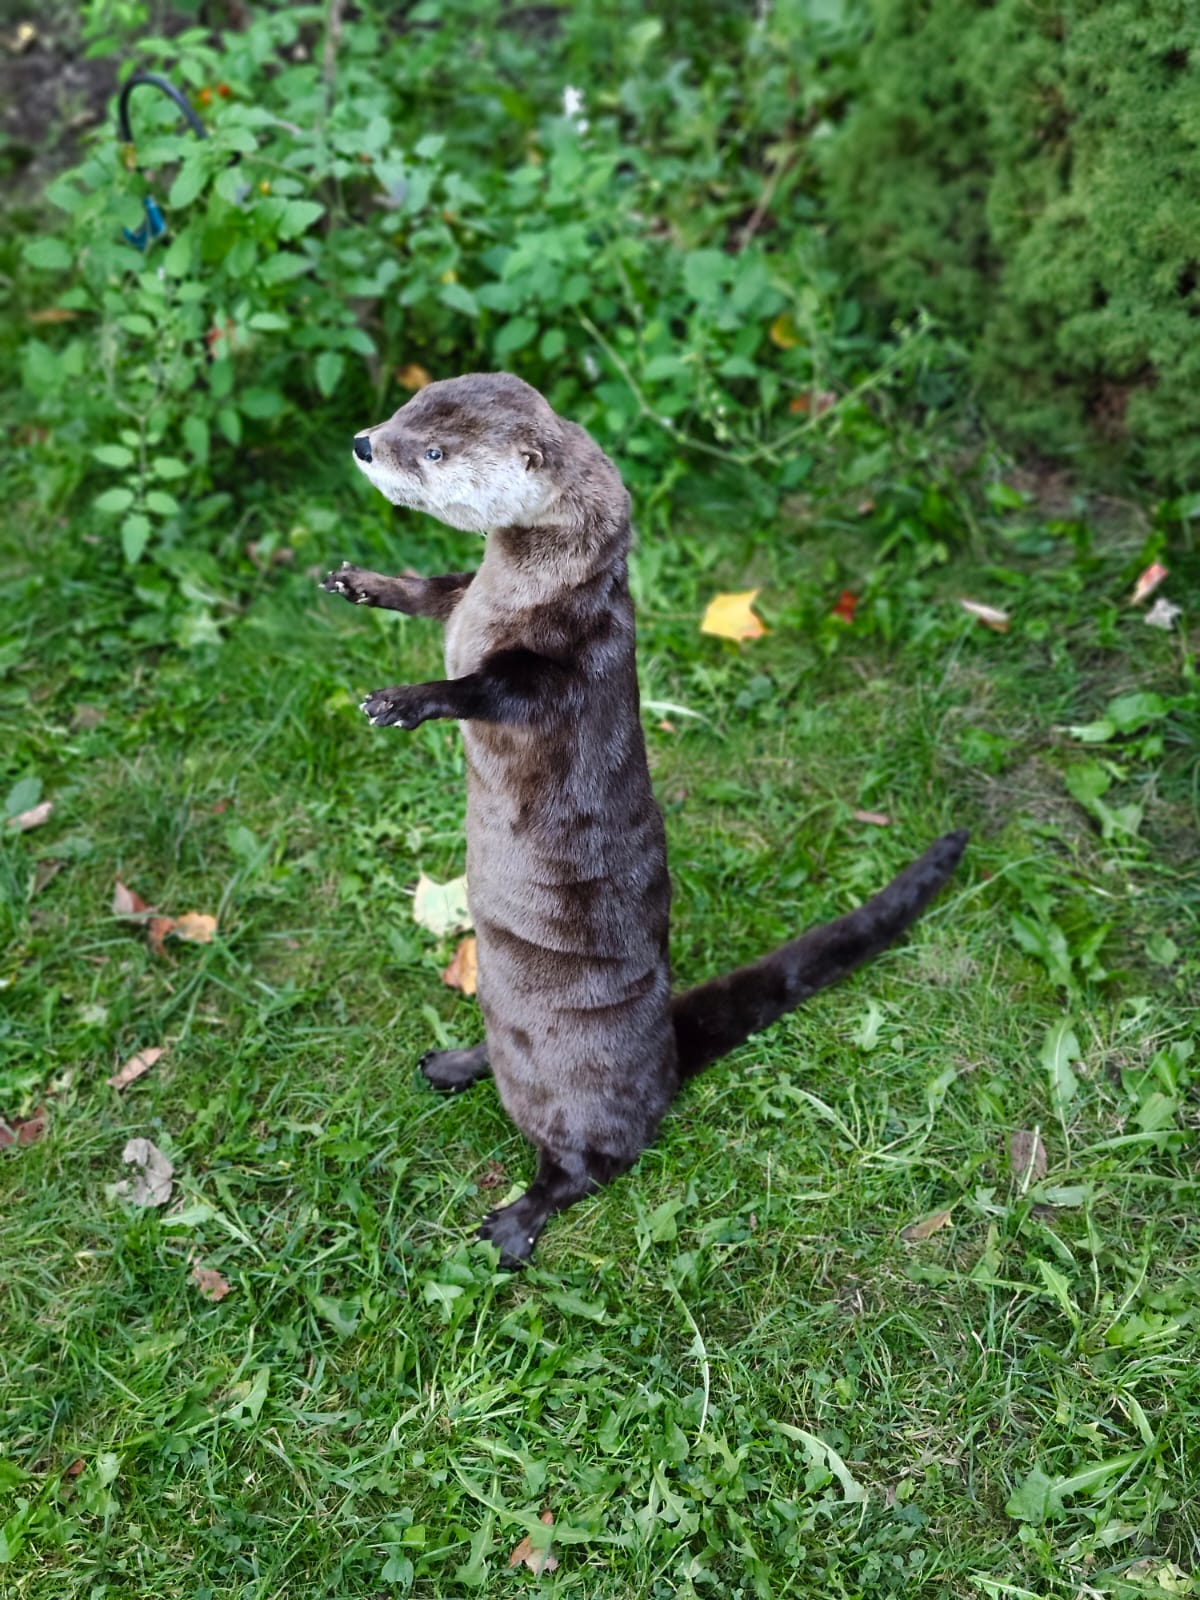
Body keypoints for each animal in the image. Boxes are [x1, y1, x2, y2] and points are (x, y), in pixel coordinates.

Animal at [322, 372, 967, 1266]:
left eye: (434, 451)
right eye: (407, 413)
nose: (360, 443)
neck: (521, 592)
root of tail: (664, 1052)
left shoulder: (566, 664)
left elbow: (488, 689)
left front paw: (406, 699)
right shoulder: (468, 597)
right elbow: (435, 590)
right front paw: (366, 584)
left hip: (584, 1094)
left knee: (593, 1163)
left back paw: (515, 1222)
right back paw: (453, 1063)